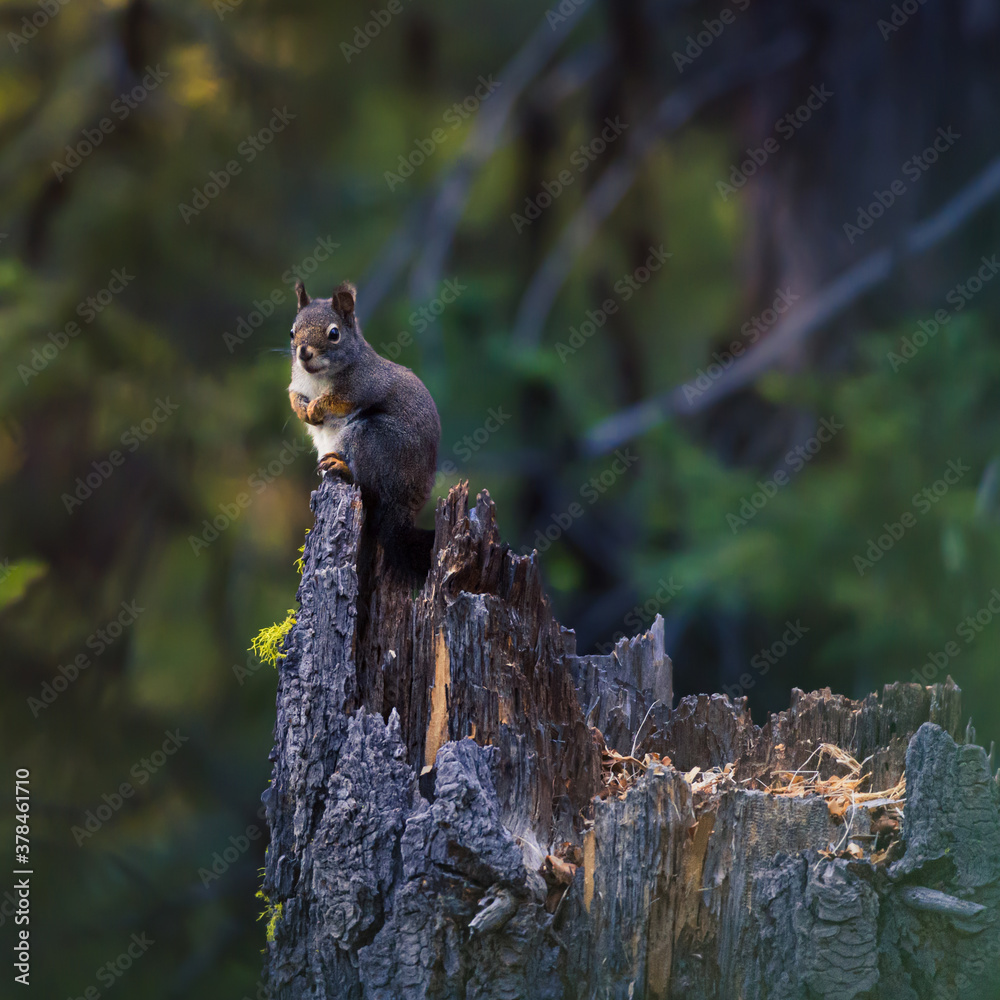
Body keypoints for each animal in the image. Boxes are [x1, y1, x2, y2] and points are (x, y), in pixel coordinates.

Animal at [287, 279, 441, 582]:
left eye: (334, 333)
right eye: (292, 332)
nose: (304, 353)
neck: (316, 377)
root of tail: (407, 504)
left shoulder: (364, 384)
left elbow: (338, 400)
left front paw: (317, 408)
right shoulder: (296, 384)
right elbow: (293, 396)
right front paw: (303, 410)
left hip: (374, 440)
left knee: (370, 488)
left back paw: (341, 467)